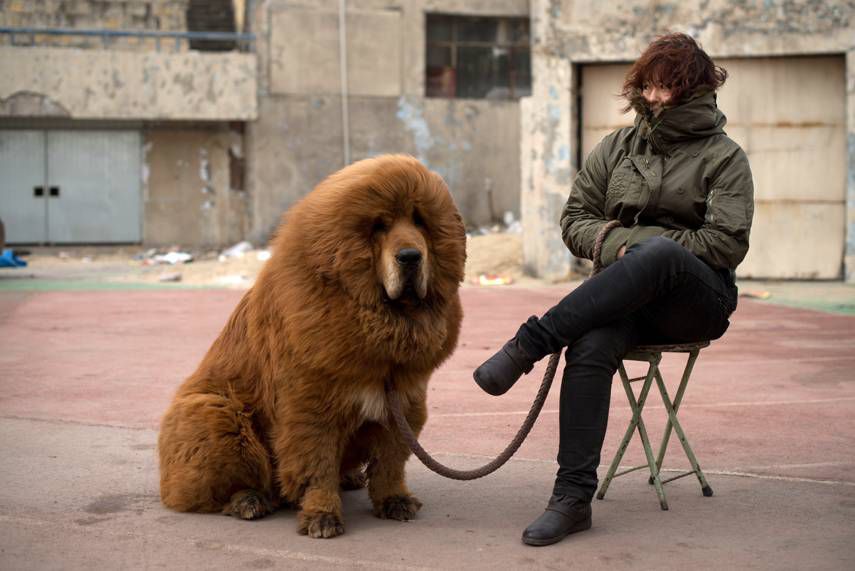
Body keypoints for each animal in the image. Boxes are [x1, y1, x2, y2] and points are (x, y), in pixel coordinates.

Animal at [160, 154, 468, 540]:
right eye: (379, 226)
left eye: (419, 221)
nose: (411, 256)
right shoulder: (311, 406)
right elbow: (316, 465)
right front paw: (322, 516)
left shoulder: (405, 400)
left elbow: (390, 461)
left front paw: (394, 499)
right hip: (215, 413)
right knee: (221, 485)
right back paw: (249, 500)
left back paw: (348, 478)